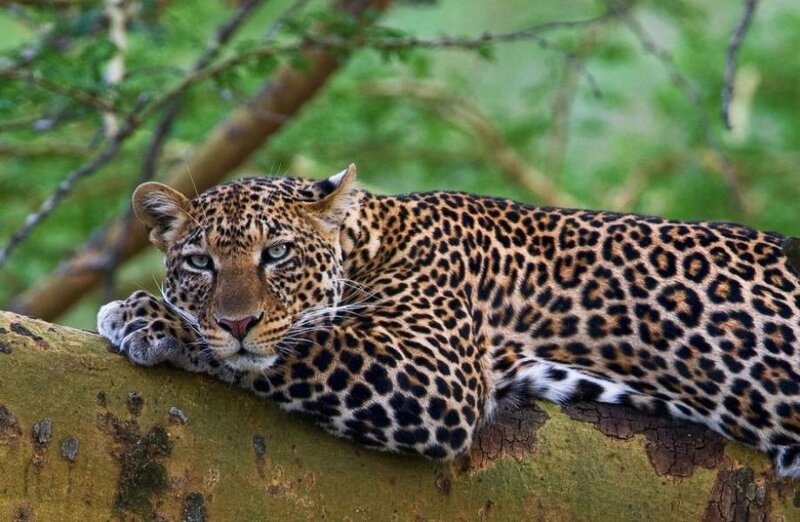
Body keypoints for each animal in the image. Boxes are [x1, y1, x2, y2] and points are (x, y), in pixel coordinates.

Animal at [97, 164, 800, 477]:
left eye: (277, 254)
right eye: (199, 262)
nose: (237, 322)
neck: (375, 237)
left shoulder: (434, 377)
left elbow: (302, 344)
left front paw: (147, 317)